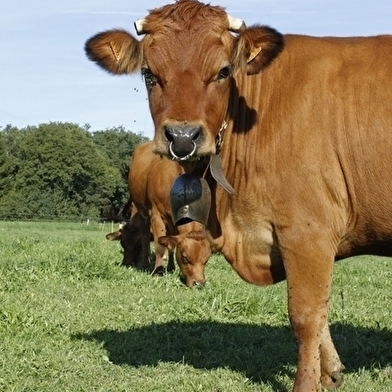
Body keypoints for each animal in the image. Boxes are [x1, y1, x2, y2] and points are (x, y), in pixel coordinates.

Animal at [84, 1, 392, 390]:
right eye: (149, 74)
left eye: (223, 71)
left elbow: (306, 315)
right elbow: (321, 312)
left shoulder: (307, 231)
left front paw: (308, 382)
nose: (182, 138)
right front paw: (332, 372)